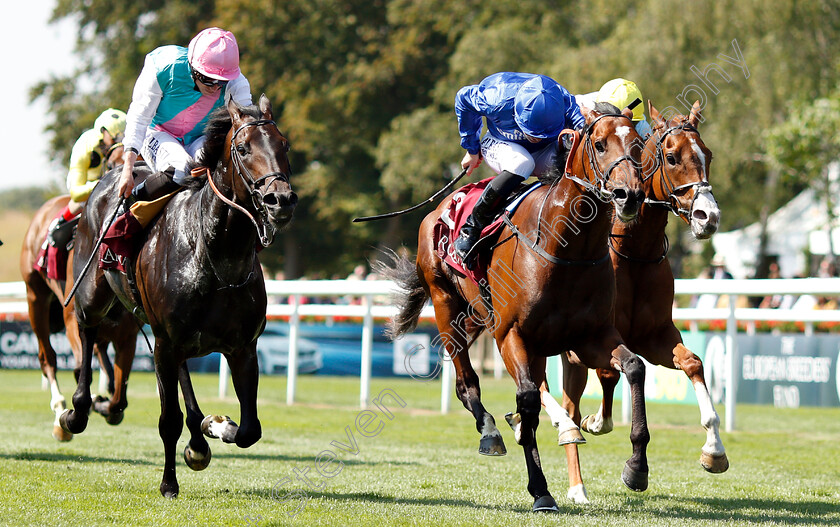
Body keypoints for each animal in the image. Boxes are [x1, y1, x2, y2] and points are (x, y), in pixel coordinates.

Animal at [19, 143, 139, 442]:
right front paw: (76, 411)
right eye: (111, 164)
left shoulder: (128, 333)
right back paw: (59, 412)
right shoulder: (73, 317)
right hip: (35, 298)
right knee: (48, 358)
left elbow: (118, 399)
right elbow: (78, 367)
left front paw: (104, 404)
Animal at [60, 96, 296, 500]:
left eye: (284, 145)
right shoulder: (166, 342)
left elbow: (250, 429)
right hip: (93, 294)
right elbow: (168, 420)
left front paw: (216, 427)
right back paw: (78, 411)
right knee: (87, 331)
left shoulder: (242, 347)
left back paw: (199, 438)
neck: (215, 253)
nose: (279, 199)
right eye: (243, 148)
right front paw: (169, 483)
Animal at [552, 101, 720, 502]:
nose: (709, 217)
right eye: (672, 157)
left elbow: (693, 363)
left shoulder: (655, 336)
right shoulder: (592, 340)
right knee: (565, 403)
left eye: (707, 155)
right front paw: (633, 463)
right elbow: (614, 374)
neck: (635, 252)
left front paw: (714, 451)